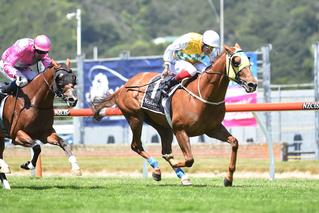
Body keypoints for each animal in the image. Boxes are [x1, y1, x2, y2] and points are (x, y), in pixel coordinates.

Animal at [0, 59, 80, 189]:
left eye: (74, 77)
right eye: (59, 78)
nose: (72, 99)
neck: (34, 102)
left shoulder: (45, 134)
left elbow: (63, 143)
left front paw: (76, 168)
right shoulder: (16, 135)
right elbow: (37, 147)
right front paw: (28, 165)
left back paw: (6, 183)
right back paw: (5, 168)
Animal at [92, 43, 258, 186]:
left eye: (248, 60)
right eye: (236, 61)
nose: (252, 84)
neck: (203, 94)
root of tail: (124, 86)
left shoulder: (213, 129)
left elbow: (234, 142)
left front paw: (228, 179)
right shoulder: (180, 130)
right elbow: (189, 159)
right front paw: (174, 164)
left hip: (163, 127)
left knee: (164, 150)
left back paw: (180, 175)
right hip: (135, 118)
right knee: (137, 145)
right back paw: (157, 169)